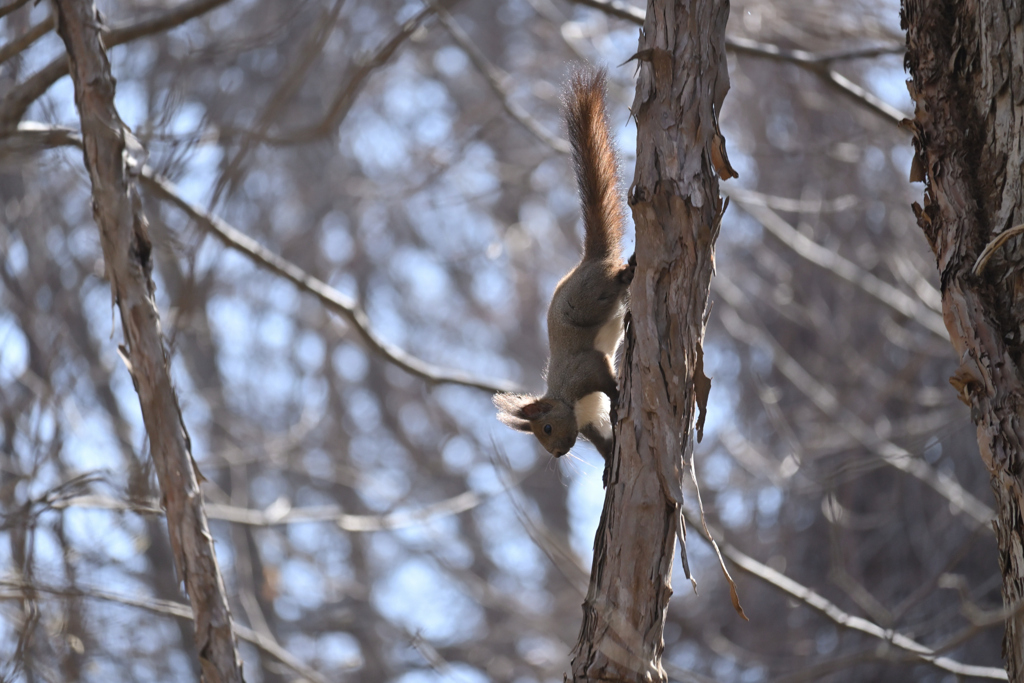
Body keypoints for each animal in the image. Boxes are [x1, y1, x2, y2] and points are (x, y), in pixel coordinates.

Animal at [493, 66, 630, 462]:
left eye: (547, 428)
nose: (555, 454)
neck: (568, 402)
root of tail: (590, 259)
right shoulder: (588, 423)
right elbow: (603, 443)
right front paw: (607, 465)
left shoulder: (583, 371)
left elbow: (604, 377)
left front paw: (618, 394)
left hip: (589, 297)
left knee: (615, 281)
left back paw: (627, 273)